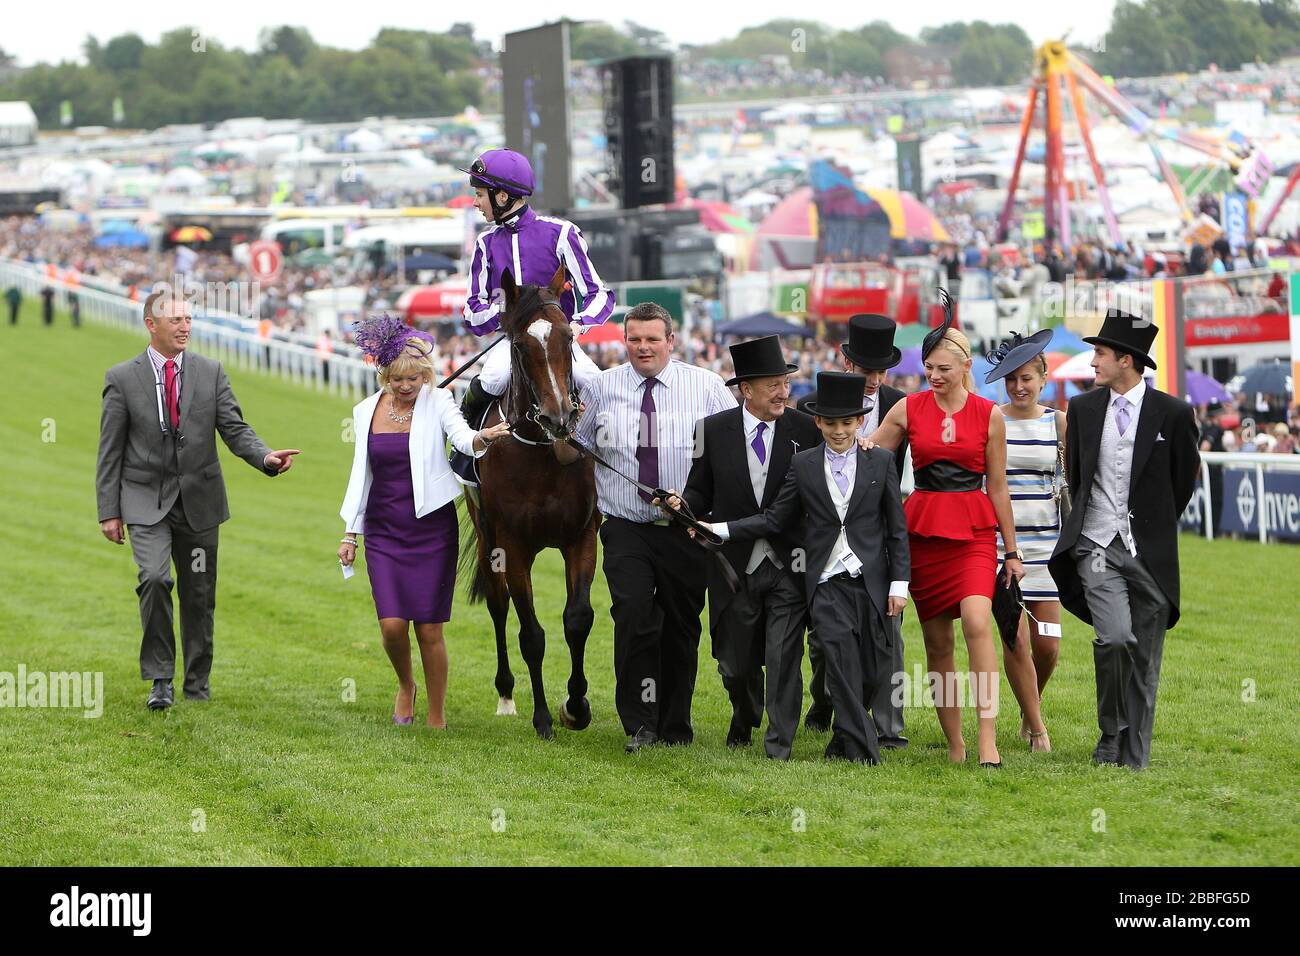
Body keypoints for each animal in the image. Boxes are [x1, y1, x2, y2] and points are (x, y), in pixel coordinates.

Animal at [457, 264, 598, 738]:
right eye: (519, 346)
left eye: (568, 337)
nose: (559, 417)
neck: (542, 453)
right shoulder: (513, 546)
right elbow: (531, 634)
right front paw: (542, 718)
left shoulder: (582, 536)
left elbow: (578, 619)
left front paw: (576, 706)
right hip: (487, 537)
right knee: (498, 607)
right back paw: (505, 694)